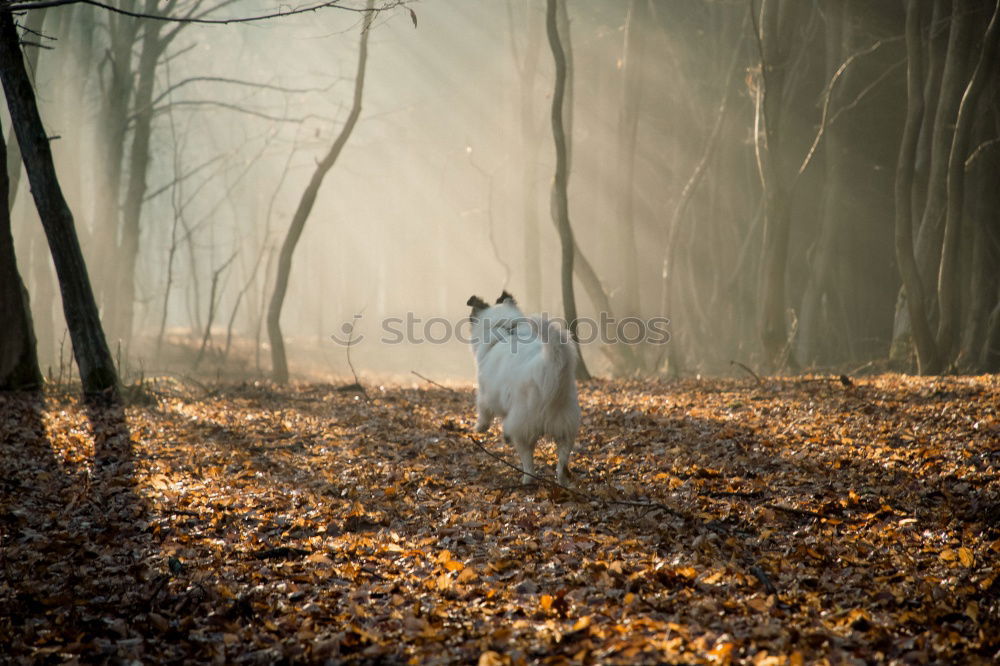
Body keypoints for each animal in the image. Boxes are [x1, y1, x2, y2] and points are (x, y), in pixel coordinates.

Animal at [466, 290, 584, 482]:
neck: (506, 330)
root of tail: (549, 369)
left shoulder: (486, 393)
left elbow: (483, 410)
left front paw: (480, 427)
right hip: (566, 427)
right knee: (562, 460)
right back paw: (562, 480)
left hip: (523, 427)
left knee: (528, 460)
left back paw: (527, 479)